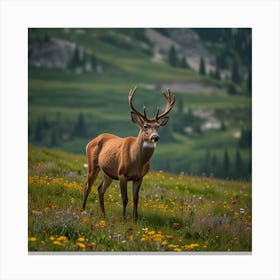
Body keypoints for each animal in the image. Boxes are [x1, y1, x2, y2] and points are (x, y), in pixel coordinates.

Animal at [81, 86, 176, 222]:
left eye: (158, 126)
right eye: (145, 126)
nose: (155, 137)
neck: (136, 161)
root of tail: (91, 141)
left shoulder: (139, 177)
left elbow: (136, 199)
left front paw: (135, 220)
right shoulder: (122, 173)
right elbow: (124, 198)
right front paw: (123, 219)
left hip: (108, 173)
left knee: (100, 189)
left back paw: (103, 214)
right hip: (92, 164)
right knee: (87, 186)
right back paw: (83, 210)